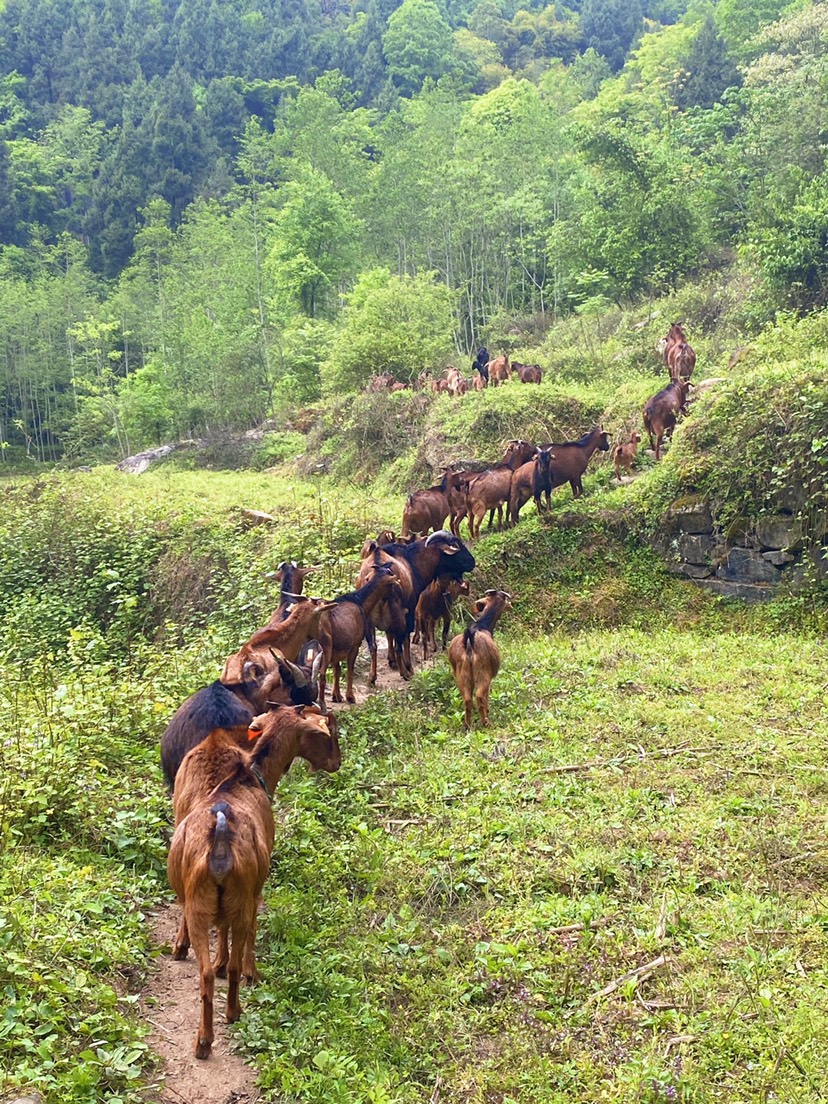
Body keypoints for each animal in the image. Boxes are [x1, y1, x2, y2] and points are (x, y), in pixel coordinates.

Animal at [168, 702, 340, 1055]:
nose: (337, 762)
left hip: (200, 903)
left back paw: (203, 1038)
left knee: (204, 972)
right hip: (240, 899)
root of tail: (219, 841)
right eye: (326, 733)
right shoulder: (256, 886)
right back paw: (233, 1009)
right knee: (236, 953)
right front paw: (252, 973)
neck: (247, 778)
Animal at [317, 565, 401, 702]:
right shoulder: (355, 645)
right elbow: (350, 670)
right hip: (324, 649)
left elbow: (337, 670)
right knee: (321, 673)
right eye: (392, 585)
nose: (395, 595)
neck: (360, 601)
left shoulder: (338, 647)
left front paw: (337, 696)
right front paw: (350, 697)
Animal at [448, 591, 512, 728]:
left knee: (467, 699)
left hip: (462, 674)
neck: (482, 625)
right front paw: (487, 712)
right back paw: (485, 722)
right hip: (483, 672)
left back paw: (468, 725)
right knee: (479, 696)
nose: (510, 606)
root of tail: (469, 642)